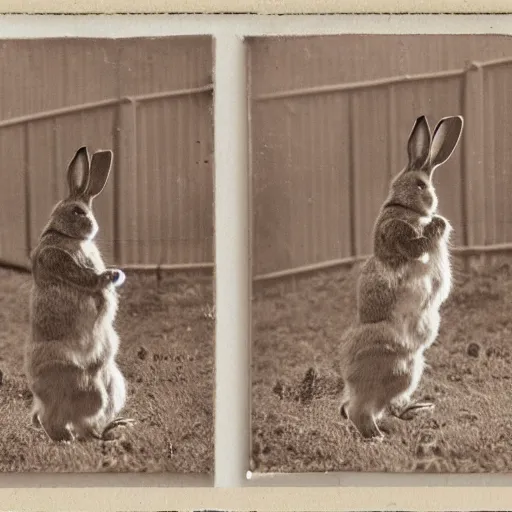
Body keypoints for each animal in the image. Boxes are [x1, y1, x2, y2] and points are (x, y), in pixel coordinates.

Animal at [25, 146, 134, 442]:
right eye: (77, 211)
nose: (93, 226)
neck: (70, 237)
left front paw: (114, 278)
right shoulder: (53, 258)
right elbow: (79, 272)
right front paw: (108, 278)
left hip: (111, 383)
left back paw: (112, 429)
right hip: (79, 383)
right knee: (57, 420)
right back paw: (72, 438)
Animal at [340, 115, 464, 440]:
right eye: (421, 184)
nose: (432, 200)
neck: (404, 206)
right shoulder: (395, 232)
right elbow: (412, 243)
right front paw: (435, 225)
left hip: (408, 370)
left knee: (382, 406)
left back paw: (414, 411)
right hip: (388, 363)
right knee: (359, 411)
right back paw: (376, 438)